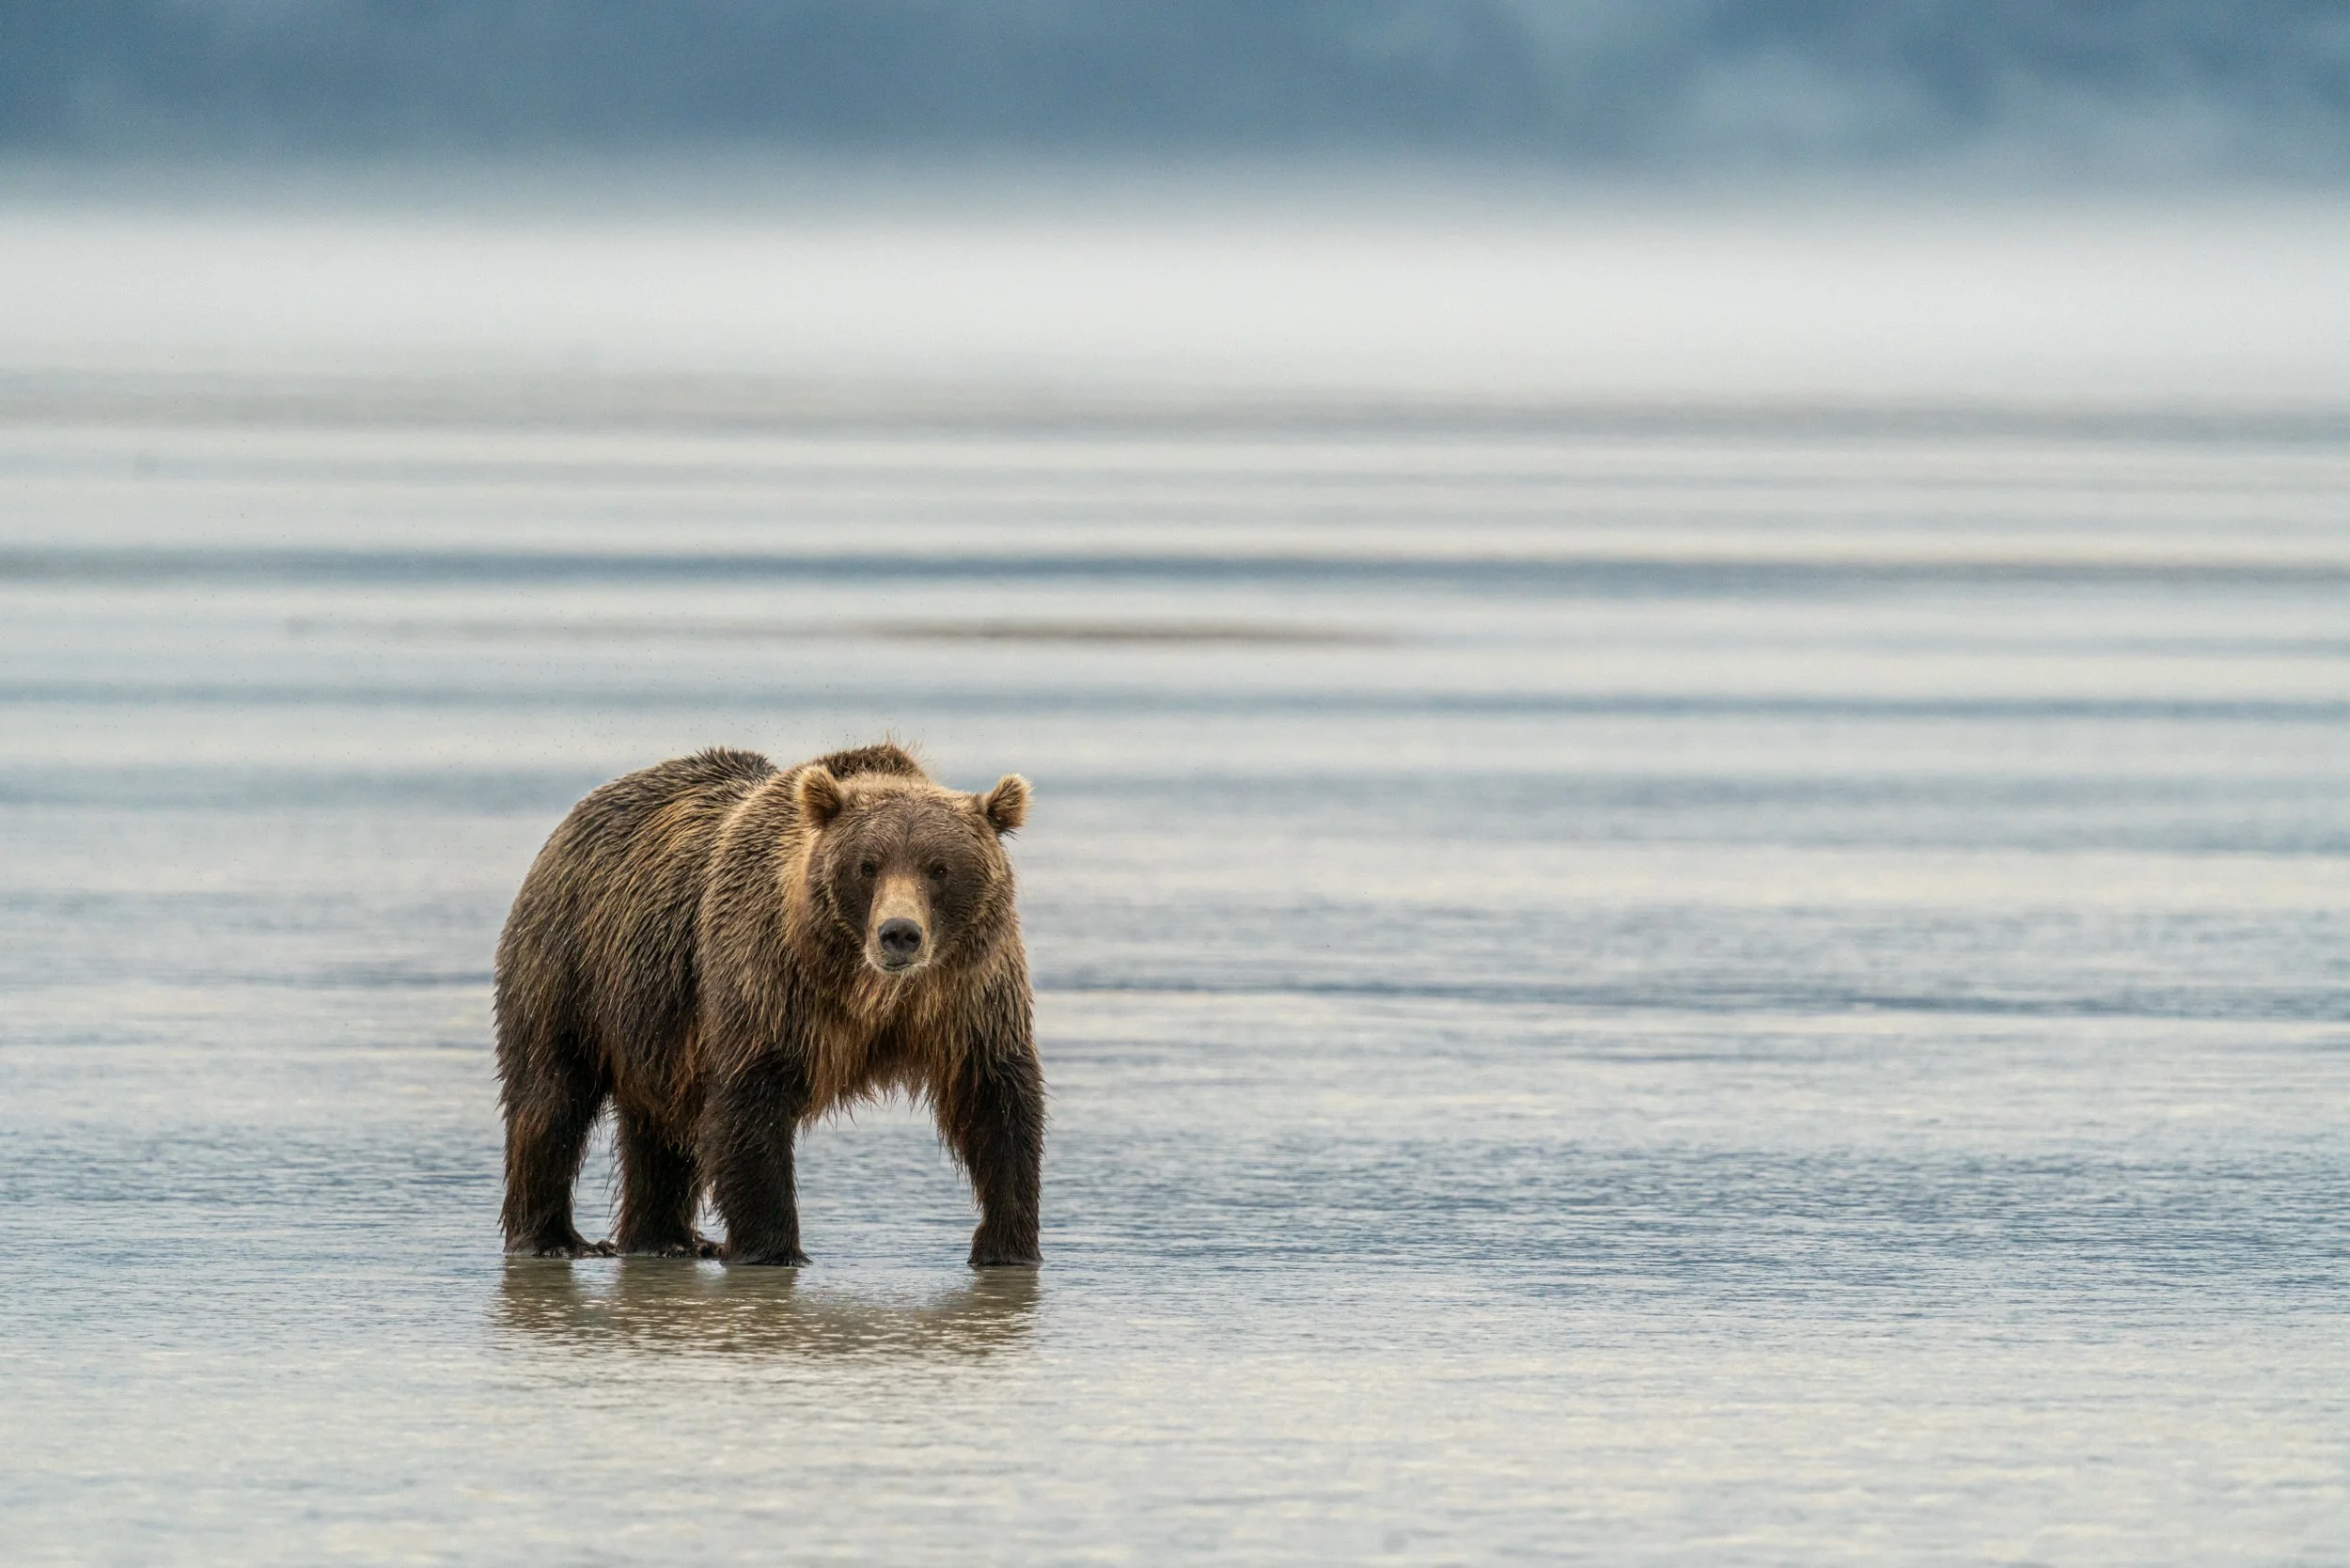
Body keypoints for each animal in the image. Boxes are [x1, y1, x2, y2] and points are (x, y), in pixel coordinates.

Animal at [493, 742, 1042, 1268]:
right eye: (867, 865)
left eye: (939, 868)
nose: (899, 933)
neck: (869, 991)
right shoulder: (770, 982)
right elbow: (751, 1104)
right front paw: (773, 1248)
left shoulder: (969, 997)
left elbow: (994, 1099)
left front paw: (1008, 1246)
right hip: (571, 966)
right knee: (551, 1097)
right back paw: (554, 1239)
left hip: (655, 1020)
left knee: (660, 1129)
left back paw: (665, 1240)